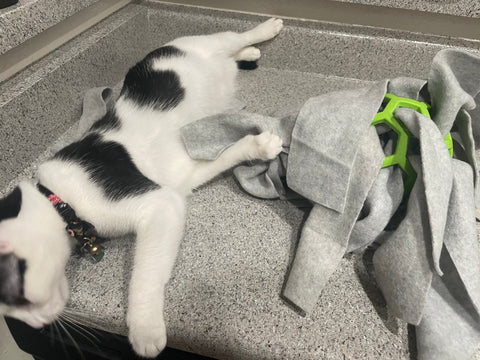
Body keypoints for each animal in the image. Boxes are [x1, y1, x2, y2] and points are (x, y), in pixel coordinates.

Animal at [0, 19, 284, 358]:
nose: (37, 326)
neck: (60, 201)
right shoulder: (182, 177)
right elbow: (226, 155)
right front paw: (258, 145)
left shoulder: (159, 203)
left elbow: (144, 275)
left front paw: (144, 328)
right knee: (236, 51)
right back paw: (250, 53)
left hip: (203, 42)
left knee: (235, 36)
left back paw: (265, 30)